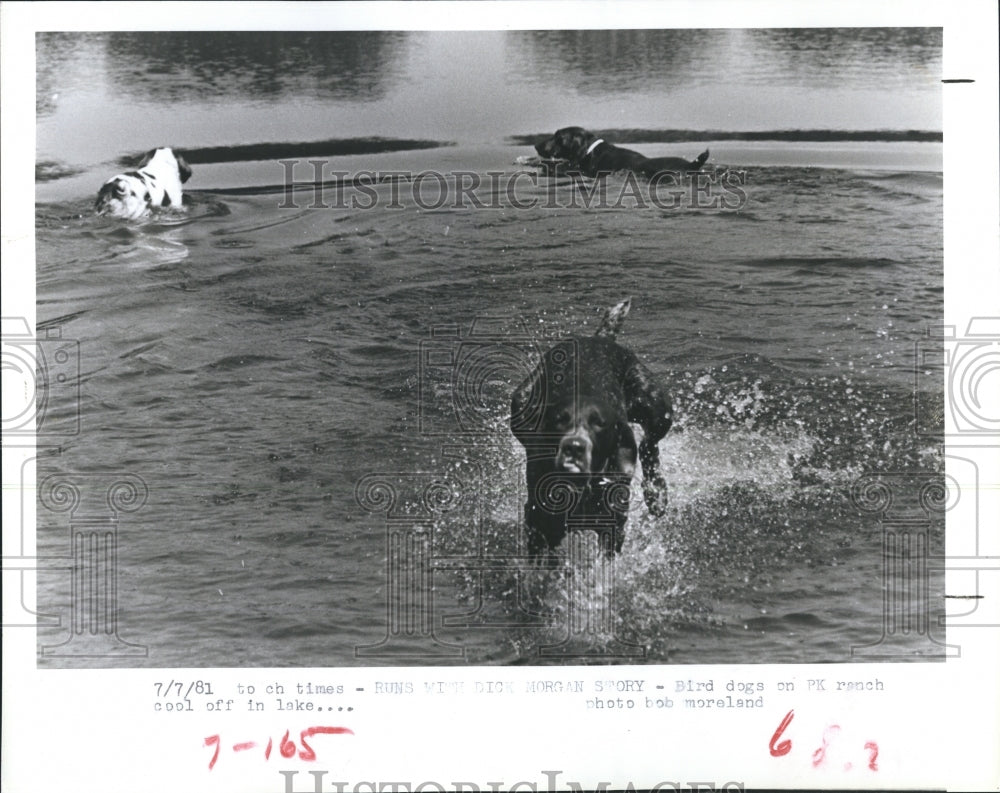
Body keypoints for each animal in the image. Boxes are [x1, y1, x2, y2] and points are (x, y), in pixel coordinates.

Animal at [512, 296, 668, 556]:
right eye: (560, 420)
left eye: (599, 424)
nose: (574, 447)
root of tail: (600, 337)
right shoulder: (539, 524)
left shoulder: (613, 527)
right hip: (521, 403)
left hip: (657, 408)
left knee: (649, 444)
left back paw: (656, 493)